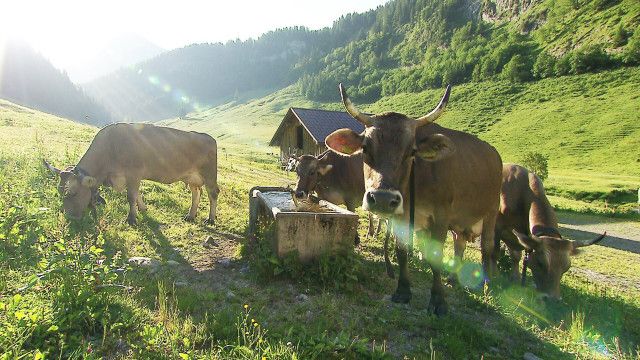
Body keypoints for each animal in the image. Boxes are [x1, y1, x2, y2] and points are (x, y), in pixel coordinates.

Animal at [44, 124, 220, 225]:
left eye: (72, 193)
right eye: (59, 192)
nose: (70, 218)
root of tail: (208, 137)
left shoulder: (133, 173)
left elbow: (131, 196)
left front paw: (131, 219)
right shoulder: (130, 177)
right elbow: (136, 194)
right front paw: (142, 209)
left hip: (210, 174)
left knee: (213, 193)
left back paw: (211, 219)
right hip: (192, 177)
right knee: (196, 192)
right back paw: (190, 215)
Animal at [328, 84, 502, 316]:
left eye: (412, 152)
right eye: (365, 148)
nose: (382, 199)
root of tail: (494, 153)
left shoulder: (441, 216)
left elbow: (436, 256)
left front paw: (438, 301)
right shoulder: (402, 217)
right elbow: (401, 251)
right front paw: (403, 290)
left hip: (491, 210)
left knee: (488, 248)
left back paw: (487, 287)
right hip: (460, 222)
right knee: (460, 243)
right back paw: (453, 278)